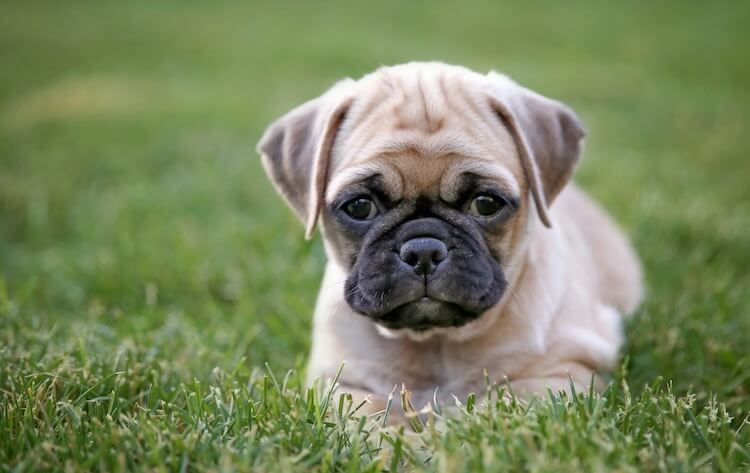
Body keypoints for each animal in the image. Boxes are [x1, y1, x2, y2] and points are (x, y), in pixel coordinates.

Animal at [258, 61, 648, 412]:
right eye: (359, 207)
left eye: (486, 204)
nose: (424, 250)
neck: (436, 343)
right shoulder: (342, 385)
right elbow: (369, 420)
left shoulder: (560, 373)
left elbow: (498, 408)